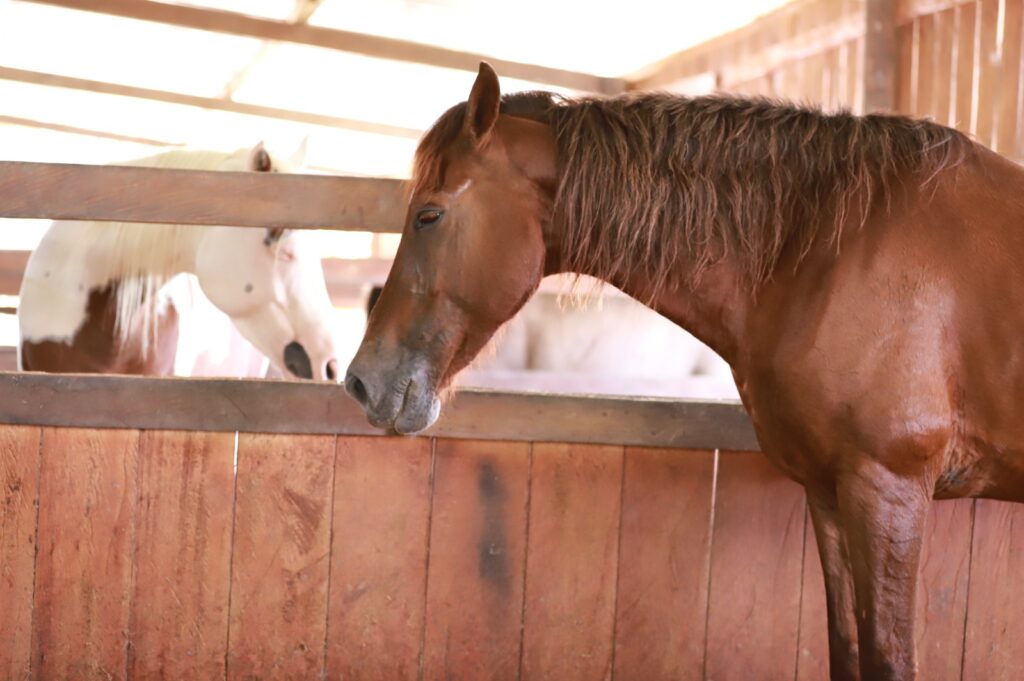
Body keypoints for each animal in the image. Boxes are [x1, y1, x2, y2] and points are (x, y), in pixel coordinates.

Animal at [346, 61, 1024, 675]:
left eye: (429, 214)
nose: (361, 381)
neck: (829, 247)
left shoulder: (888, 489)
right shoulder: (830, 493)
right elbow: (846, 651)